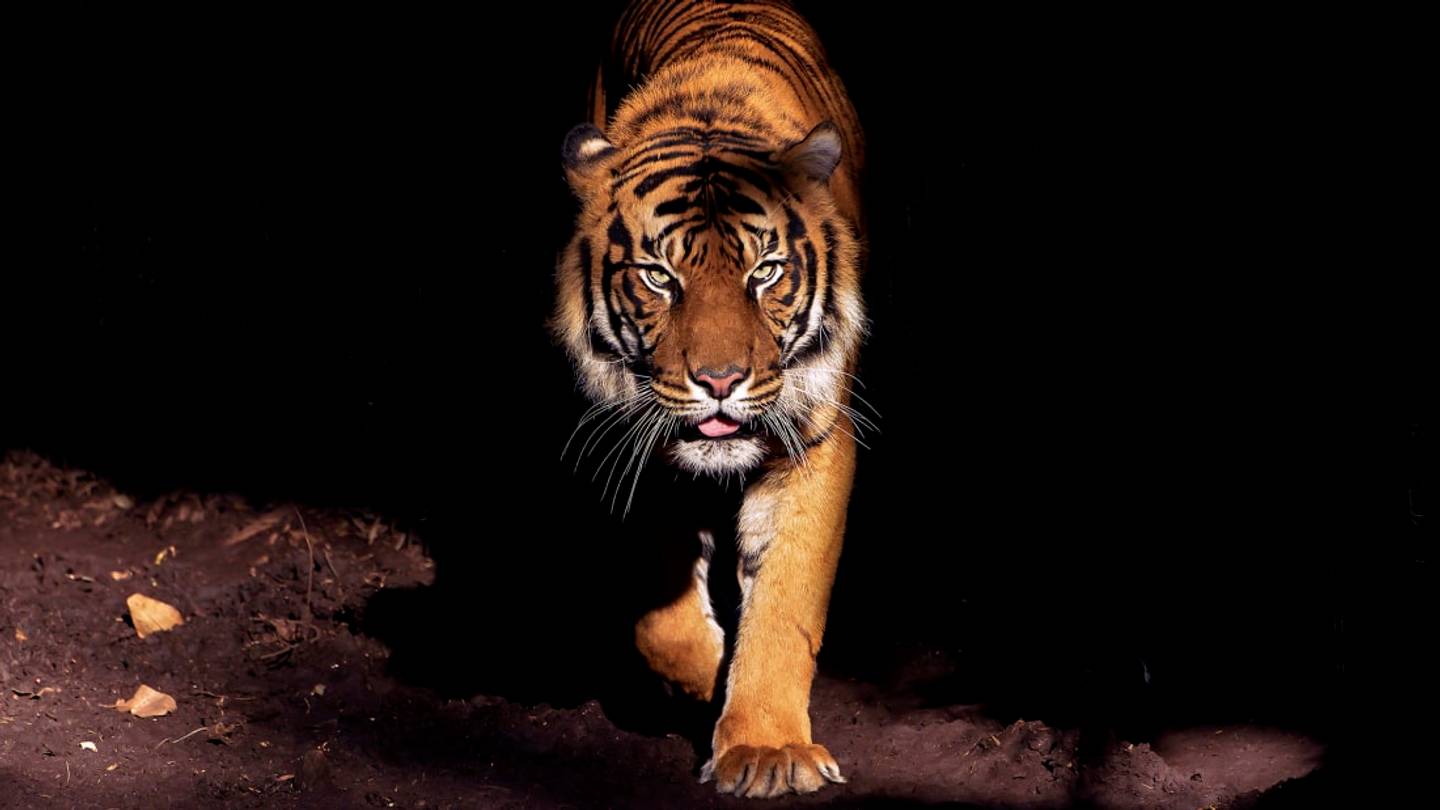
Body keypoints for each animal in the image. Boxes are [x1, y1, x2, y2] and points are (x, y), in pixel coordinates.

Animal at [551, 0, 867, 798]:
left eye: (766, 272)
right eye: (660, 277)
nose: (720, 380)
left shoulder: (813, 439)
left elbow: (785, 603)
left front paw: (766, 749)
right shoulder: (634, 436)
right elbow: (658, 616)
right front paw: (704, 678)